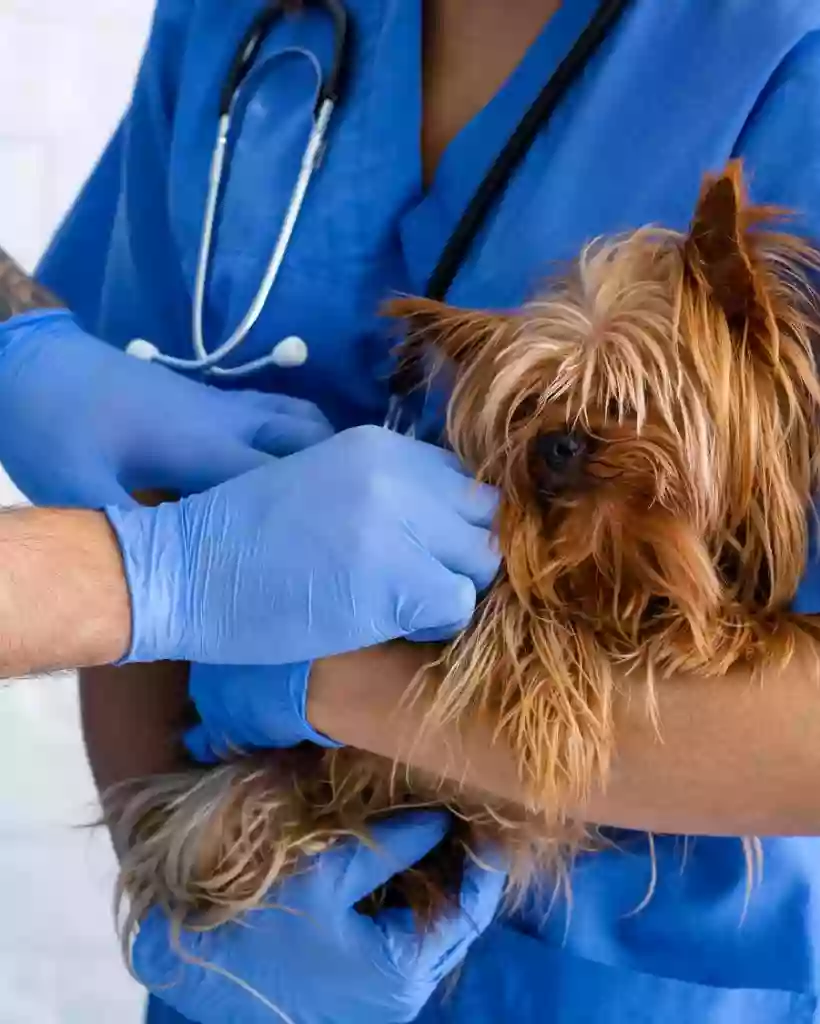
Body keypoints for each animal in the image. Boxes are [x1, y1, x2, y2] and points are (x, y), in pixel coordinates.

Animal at [112, 161, 818, 950]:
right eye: (529, 407)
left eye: (629, 397)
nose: (555, 444)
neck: (615, 564)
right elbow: (518, 614)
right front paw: (556, 701)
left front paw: (723, 632)